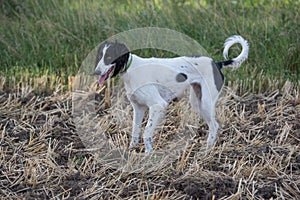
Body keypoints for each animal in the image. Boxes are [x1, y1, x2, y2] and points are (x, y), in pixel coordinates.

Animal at [95, 35, 250, 152]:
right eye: (100, 56)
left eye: (109, 57)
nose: (96, 72)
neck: (131, 69)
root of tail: (217, 64)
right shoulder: (138, 108)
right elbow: (135, 131)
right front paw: (132, 150)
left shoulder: (158, 105)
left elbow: (146, 132)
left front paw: (148, 154)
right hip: (197, 102)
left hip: (206, 103)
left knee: (214, 126)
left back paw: (206, 151)